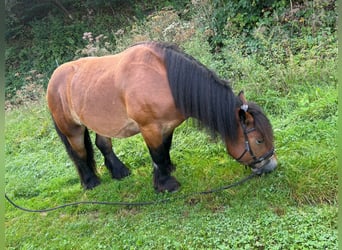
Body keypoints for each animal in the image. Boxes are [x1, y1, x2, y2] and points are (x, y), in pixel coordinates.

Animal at [46, 42, 276, 192]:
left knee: (103, 144)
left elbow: (164, 150)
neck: (164, 79)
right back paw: (90, 182)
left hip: (101, 121)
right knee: (79, 153)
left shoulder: (168, 126)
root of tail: (54, 78)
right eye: (259, 140)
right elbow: (156, 153)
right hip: (72, 129)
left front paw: (167, 170)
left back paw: (119, 171)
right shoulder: (150, 128)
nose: (271, 166)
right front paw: (166, 184)